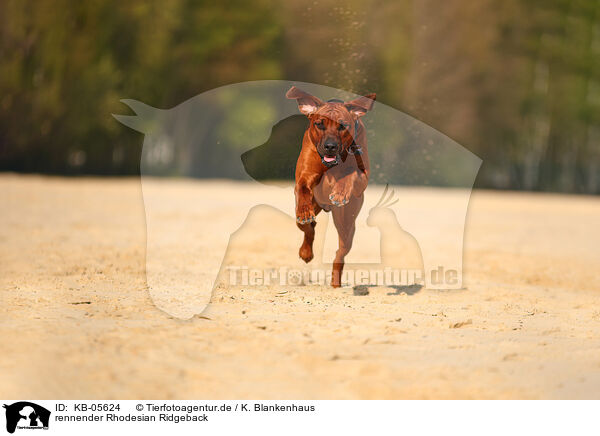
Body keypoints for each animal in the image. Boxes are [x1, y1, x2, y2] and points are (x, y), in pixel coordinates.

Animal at [286, 87, 376, 288]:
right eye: (319, 124)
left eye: (343, 126)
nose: (330, 146)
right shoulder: (305, 175)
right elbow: (303, 188)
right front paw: (305, 212)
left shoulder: (362, 177)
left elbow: (350, 175)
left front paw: (340, 192)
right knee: (307, 226)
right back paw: (306, 250)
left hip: (346, 220)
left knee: (340, 252)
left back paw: (335, 283)